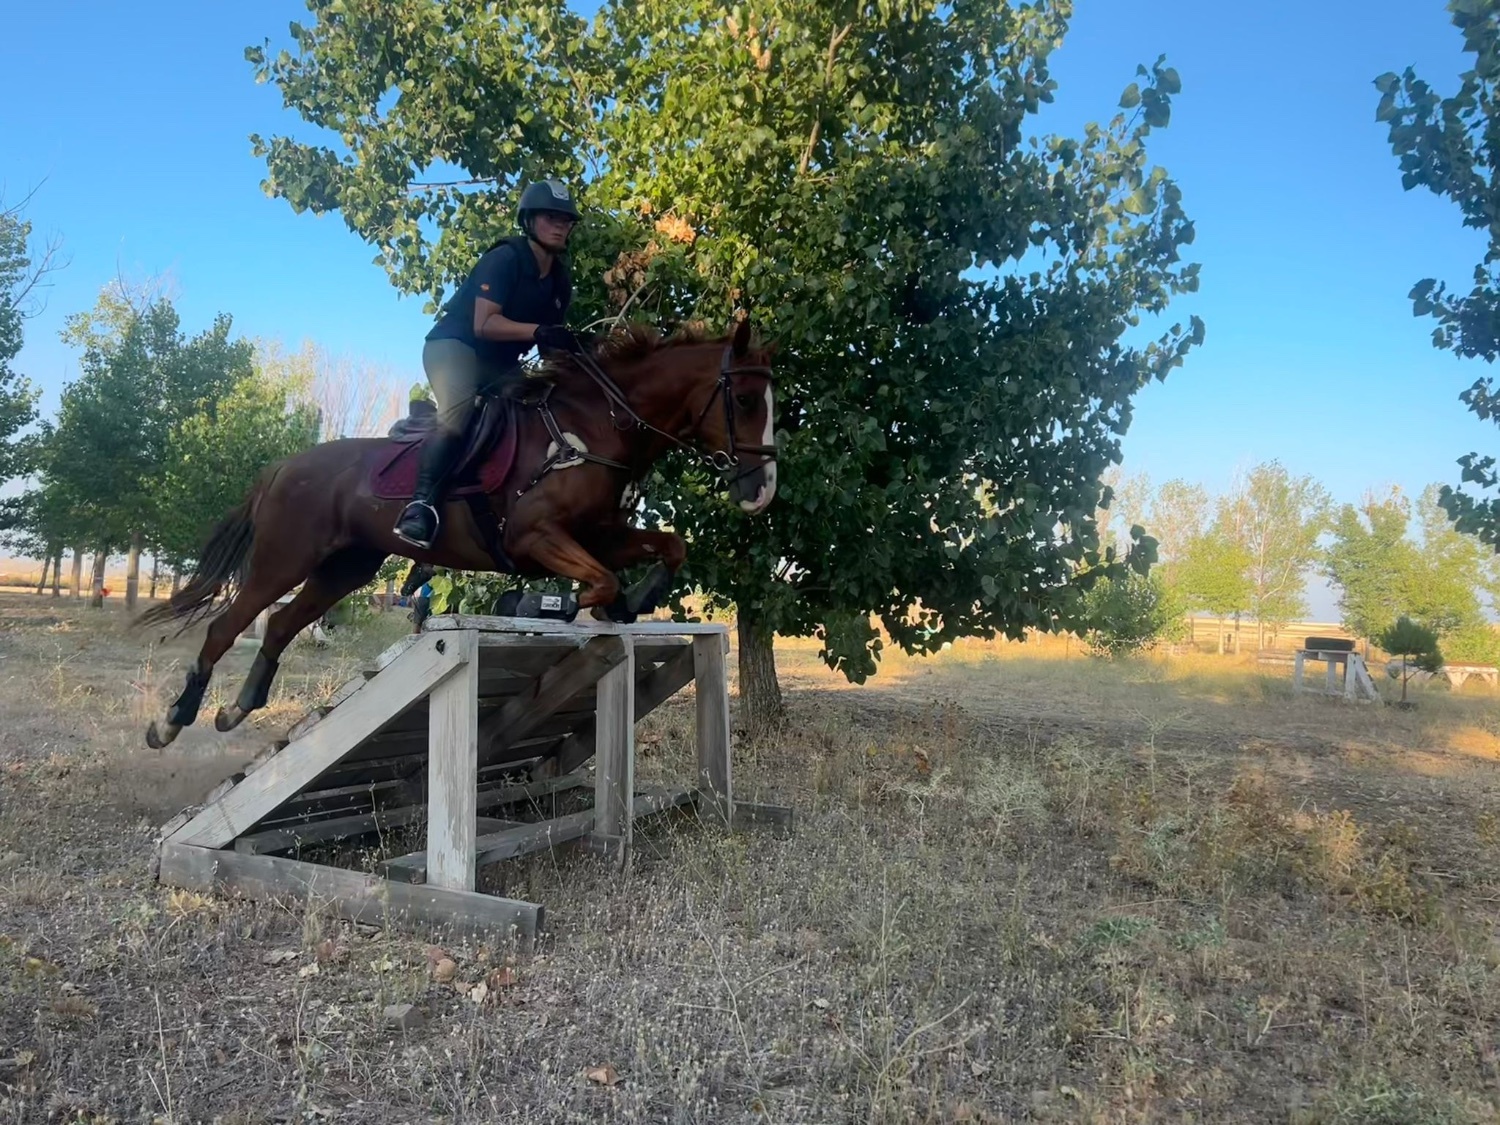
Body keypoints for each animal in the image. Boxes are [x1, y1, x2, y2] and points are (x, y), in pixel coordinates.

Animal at [137, 318, 777, 749]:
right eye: (745, 400)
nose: (763, 488)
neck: (599, 427)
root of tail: (282, 466)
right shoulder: (533, 536)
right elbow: (596, 583)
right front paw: (570, 606)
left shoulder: (602, 533)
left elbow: (669, 546)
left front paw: (634, 599)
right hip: (284, 559)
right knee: (228, 626)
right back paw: (172, 721)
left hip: (346, 567)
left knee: (280, 625)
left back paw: (237, 709)